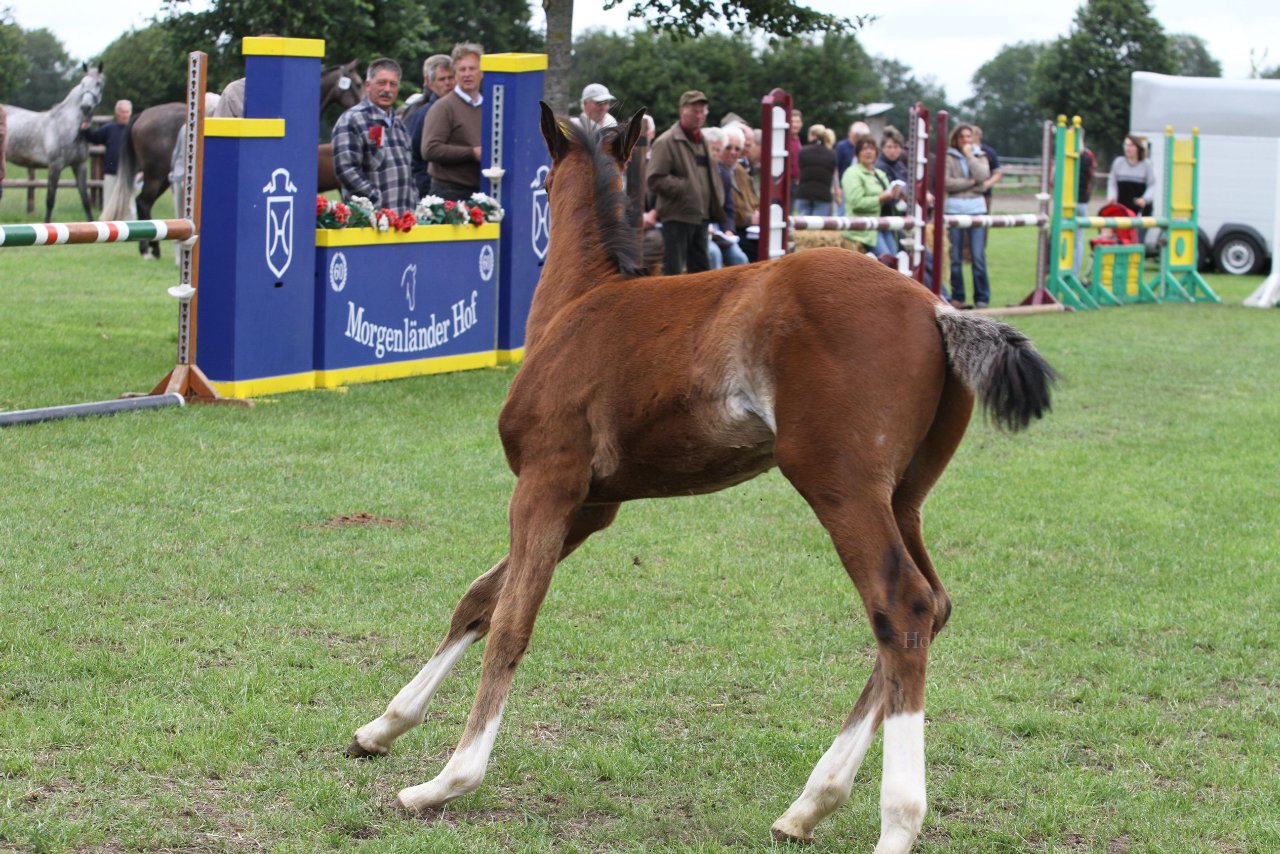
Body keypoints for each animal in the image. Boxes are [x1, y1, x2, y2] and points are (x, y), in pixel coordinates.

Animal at [1, 64, 104, 224]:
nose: (85, 107)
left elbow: (85, 200)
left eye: (98, 83)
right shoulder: (55, 166)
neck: (68, 125)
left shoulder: (79, 165)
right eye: (82, 84)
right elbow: (50, 200)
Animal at [102, 60, 363, 257]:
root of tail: (142, 115)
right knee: (144, 202)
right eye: (359, 83)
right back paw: (151, 250)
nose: (361, 105)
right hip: (156, 174)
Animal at [345, 106, 1054, 854]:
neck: (579, 302)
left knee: (901, 607)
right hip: (904, 496)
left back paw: (892, 822)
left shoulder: (547, 483)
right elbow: (480, 599)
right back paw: (810, 803)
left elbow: (512, 619)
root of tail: (936, 309)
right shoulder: (592, 507)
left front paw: (447, 781)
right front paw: (381, 728)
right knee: (932, 607)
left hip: (842, 487)